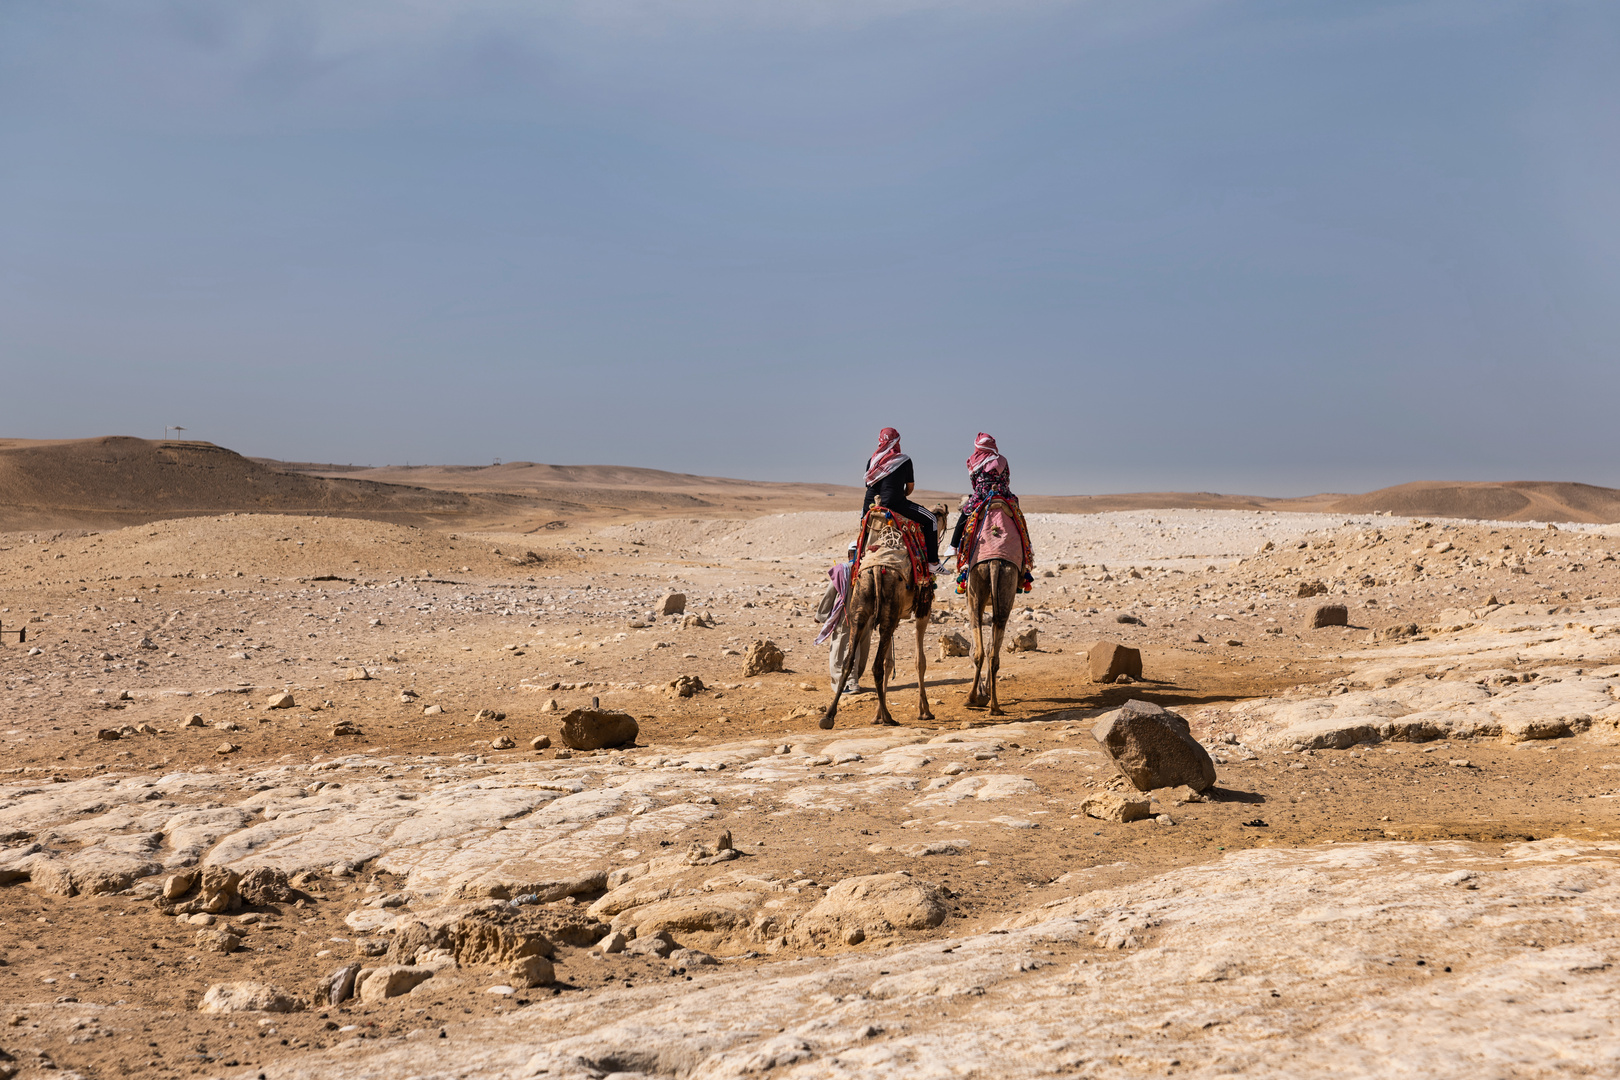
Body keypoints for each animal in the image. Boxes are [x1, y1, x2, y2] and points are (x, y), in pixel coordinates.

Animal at [822, 505, 946, 725]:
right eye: (941, 514)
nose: (946, 507)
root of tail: (878, 569)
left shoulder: (893, 618)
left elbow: (890, 663)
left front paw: (877, 714)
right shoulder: (923, 610)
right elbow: (919, 661)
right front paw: (925, 711)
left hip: (862, 611)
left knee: (849, 661)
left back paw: (829, 716)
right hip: (888, 614)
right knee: (876, 665)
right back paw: (889, 718)